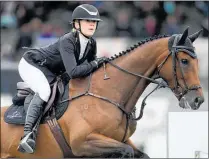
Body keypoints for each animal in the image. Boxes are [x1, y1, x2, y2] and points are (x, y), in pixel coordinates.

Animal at [0, 28, 205, 158]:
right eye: (185, 61)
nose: (198, 100)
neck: (109, 94)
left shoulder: (122, 140)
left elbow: (139, 153)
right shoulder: (83, 142)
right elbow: (126, 152)